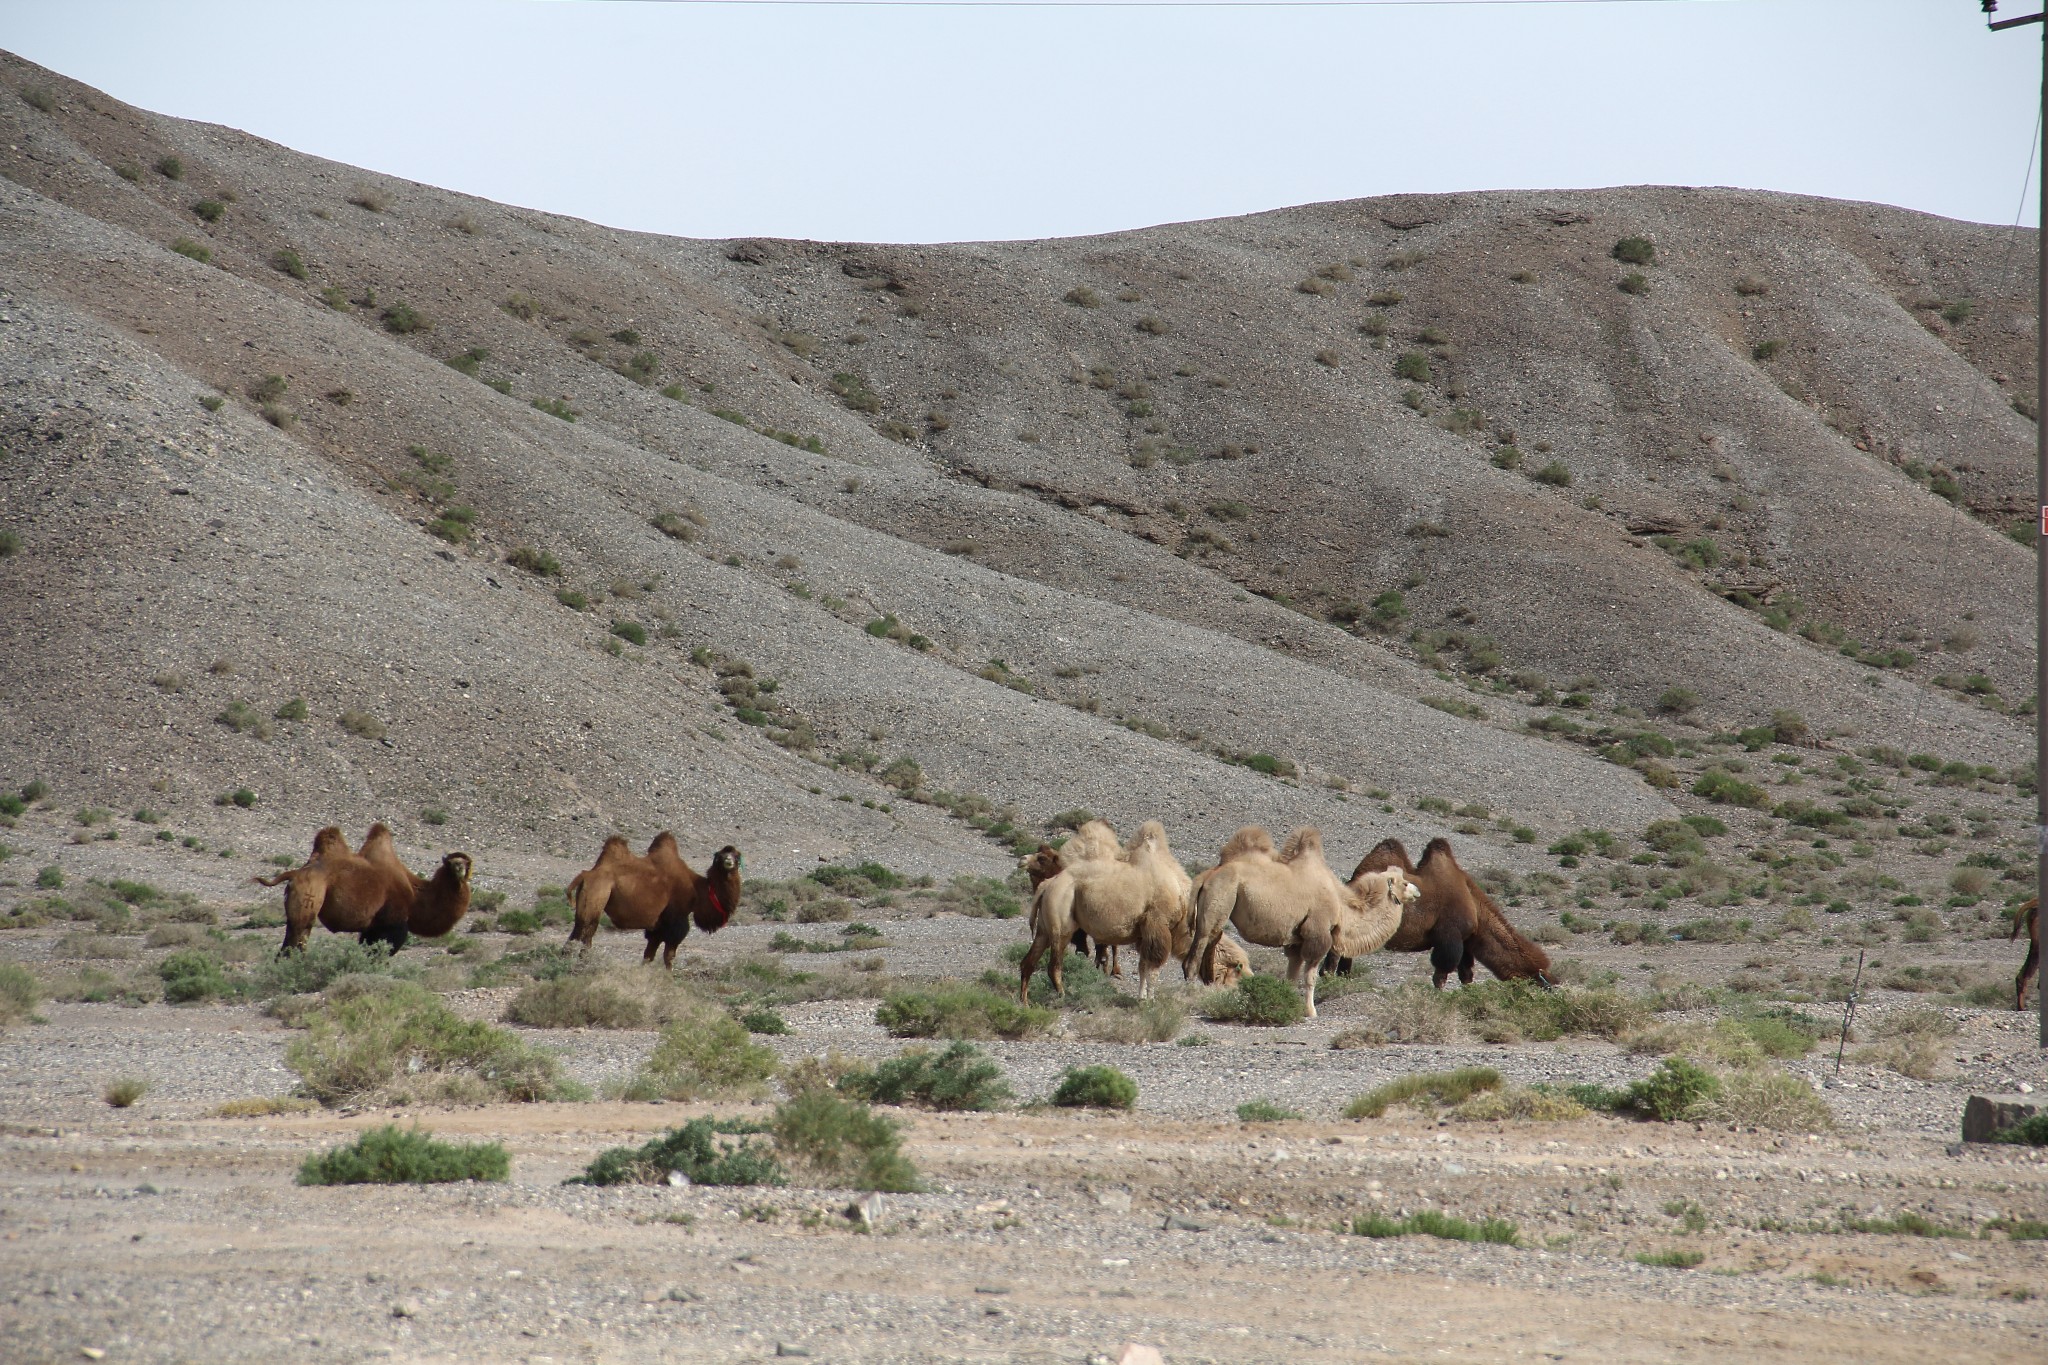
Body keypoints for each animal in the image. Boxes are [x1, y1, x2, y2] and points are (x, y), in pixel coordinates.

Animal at [256, 826, 471, 957]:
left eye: (465, 863)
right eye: (451, 863)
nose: (459, 868)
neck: (415, 896)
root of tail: (294, 874)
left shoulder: (372, 927)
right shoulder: (393, 923)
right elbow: (380, 953)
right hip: (309, 899)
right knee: (294, 942)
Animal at [565, 834, 741, 970]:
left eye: (737, 855)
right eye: (720, 856)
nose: (728, 860)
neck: (698, 889)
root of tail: (586, 875)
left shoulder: (658, 925)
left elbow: (648, 955)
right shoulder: (676, 920)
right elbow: (669, 955)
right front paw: (669, 978)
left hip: (585, 901)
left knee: (575, 935)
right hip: (596, 896)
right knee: (586, 935)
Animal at [1019, 822, 1196, 1002]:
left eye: (1042, 858)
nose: (1022, 860)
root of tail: (1047, 885)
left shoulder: (1144, 934)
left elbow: (1142, 966)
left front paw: (1141, 998)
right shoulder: (1157, 925)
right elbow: (1153, 969)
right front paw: (1150, 1000)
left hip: (1043, 929)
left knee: (1028, 962)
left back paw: (1024, 1002)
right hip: (1061, 925)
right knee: (1053, 966)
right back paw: (1063, 995)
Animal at [1179, 826, 1417, 1019]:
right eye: (1405, 883)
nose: (1417, 892)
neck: (1341, 907)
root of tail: (1206, 876)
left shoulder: (1296, 940)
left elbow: (1291, 977)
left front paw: (1288, 1003)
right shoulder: (1317, 934)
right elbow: (1310, 977)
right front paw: (1311, 1011)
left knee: (1210, 948)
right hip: (1218, 901)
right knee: (1195, 954)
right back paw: (1192, 996)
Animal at [1318, 839, 1556, 986]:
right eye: (1540, 980)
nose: (1552, 989)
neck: (1475, 908)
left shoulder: (1464, 941)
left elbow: (1466, 975)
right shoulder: (1450, 937)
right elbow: (1441, 974)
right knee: (1332, 959)